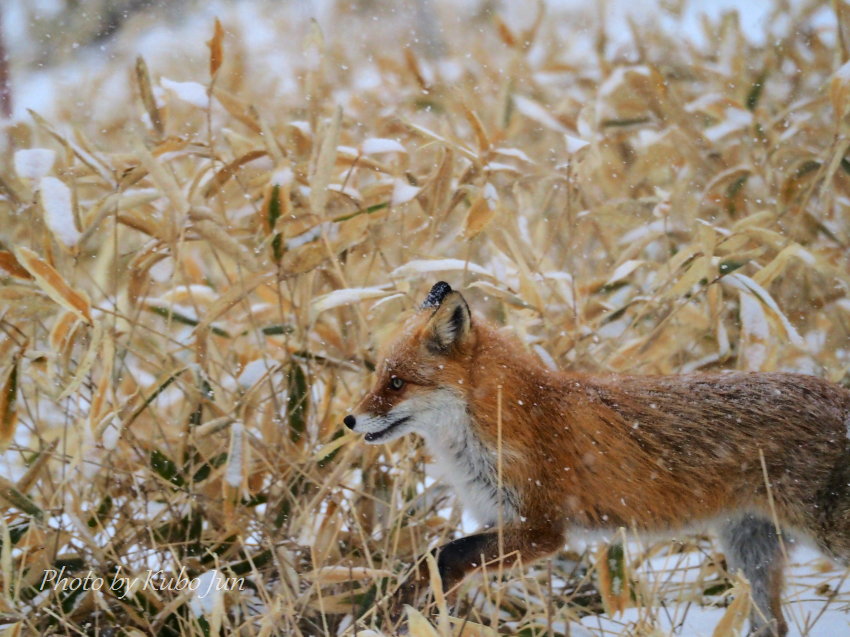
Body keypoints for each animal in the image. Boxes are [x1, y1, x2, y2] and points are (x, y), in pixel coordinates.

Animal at [342, 280, 844, 632]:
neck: (507, 419)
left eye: (396, 383)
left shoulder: (543, 528)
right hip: (751, 551)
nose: (348, 420)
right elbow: (430, 558)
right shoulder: (499, 518)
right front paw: (398, 610)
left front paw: (402, 612)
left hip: (825, 537)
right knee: (771, 625)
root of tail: (839, 395)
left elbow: (445, 554)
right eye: (380, 377)